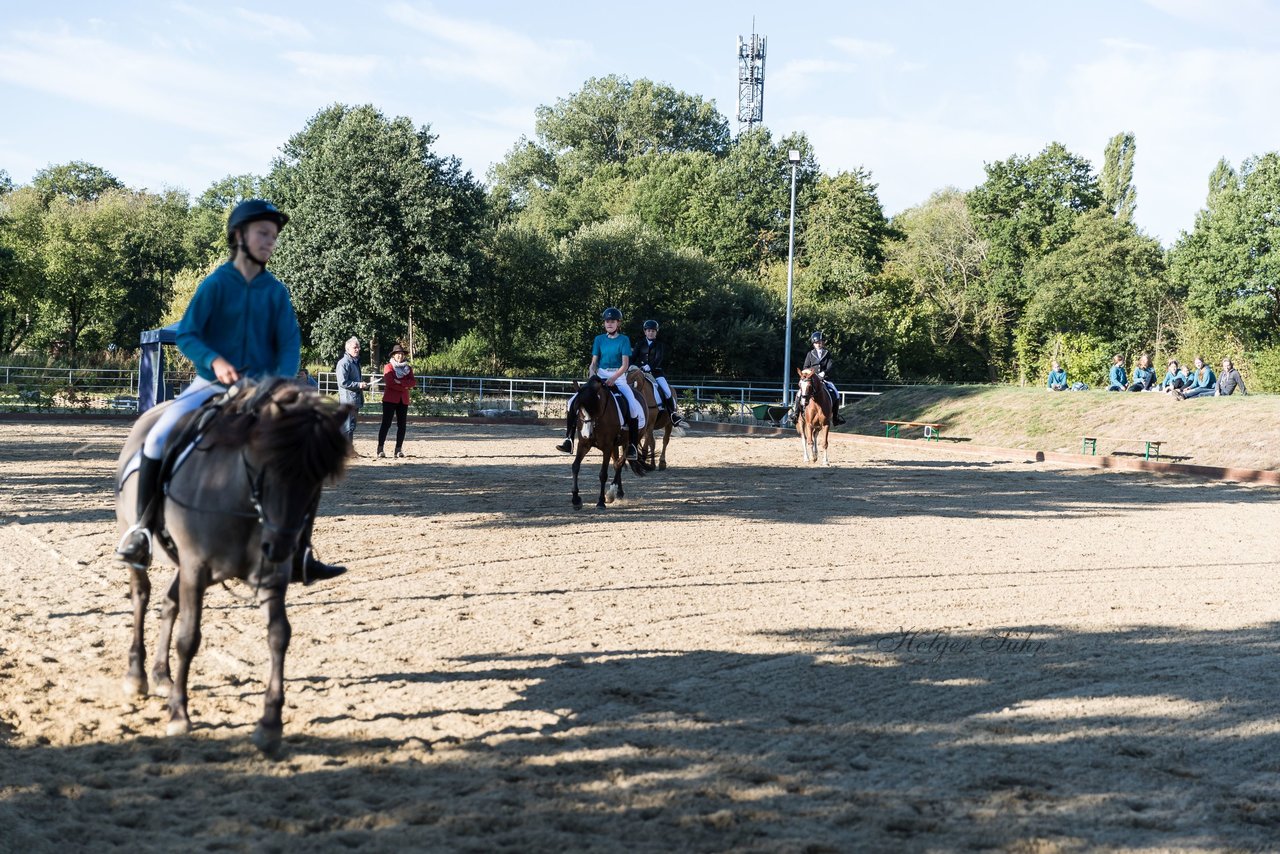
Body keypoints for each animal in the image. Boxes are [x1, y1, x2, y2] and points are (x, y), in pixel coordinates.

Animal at [115, 376, 353, 752]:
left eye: (317, 480)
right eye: (267, 465)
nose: (280, 546)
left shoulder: (270, 576)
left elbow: (279, 635)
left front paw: (270, 723)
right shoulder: (196, 568)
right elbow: (189, 638)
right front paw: (179, 715)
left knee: (169, 603)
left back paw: (162, 676)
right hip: (144, 545)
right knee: (142, 597)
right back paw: (137, 676)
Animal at [570, 376, 645, 507]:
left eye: (595, 410)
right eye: (579, 410)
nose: (586, 434)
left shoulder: (607, 447)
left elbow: (603, 474)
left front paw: (601, 501)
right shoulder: (584, 444)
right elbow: (575, 467)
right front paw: (575, 499)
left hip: (631, 440)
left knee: (620, 463)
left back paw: (611, 493)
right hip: (617, 444)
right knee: (616, 464)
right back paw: (618, 492)